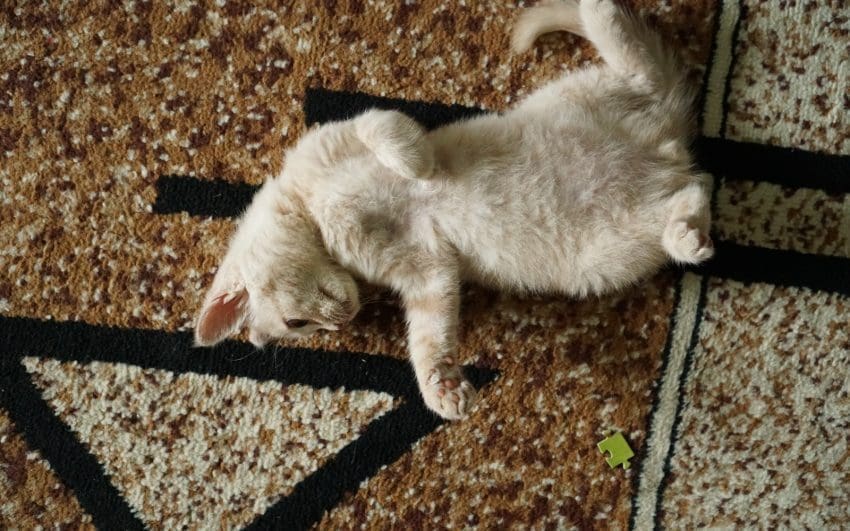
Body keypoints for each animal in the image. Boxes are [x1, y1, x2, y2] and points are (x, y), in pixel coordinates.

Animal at [192, 0, 708, 422]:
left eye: (295, 324)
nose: (341, 321)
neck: (313, 211)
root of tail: (667, 146)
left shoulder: (358, 130)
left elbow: (387, 133)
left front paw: (413, 168)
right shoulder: (426, 269)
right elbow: (428, 335)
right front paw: (442, 389)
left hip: (596, 90)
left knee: (628, 52)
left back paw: (595, 6)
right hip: (610, 253)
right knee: (695, 191)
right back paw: (687, 235)